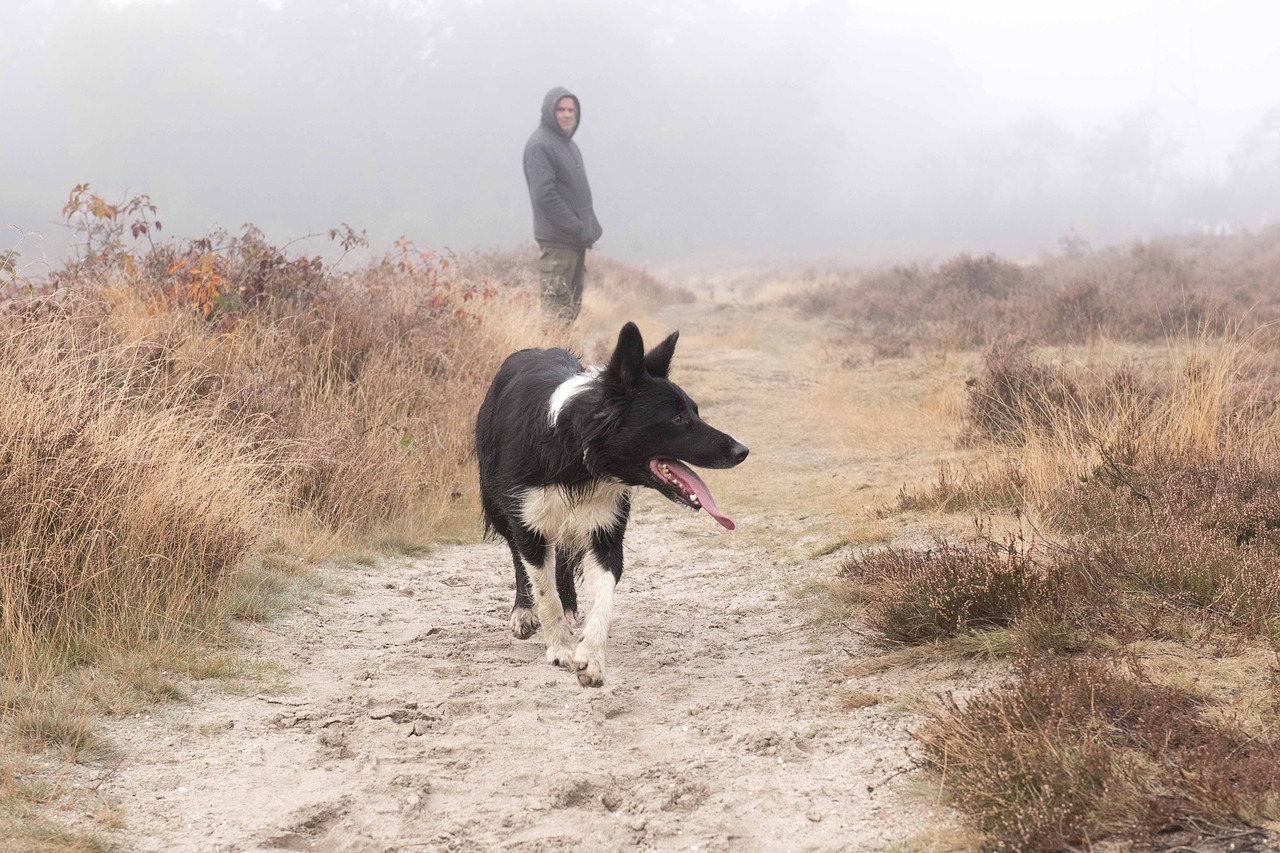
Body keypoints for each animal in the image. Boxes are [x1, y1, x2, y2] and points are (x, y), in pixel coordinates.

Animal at [476, 318, 747, 686]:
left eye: (695, 412)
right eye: (677, 419)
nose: (742, 450)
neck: (576, 453)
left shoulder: (605, 529)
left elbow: (603, 597)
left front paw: (590, 657)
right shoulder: (528, 519)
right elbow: (543, 588)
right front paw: (559, 647)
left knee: (563, 561)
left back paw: (570, 608)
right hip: (499, 502)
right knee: (521, 560)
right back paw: (525, 611)